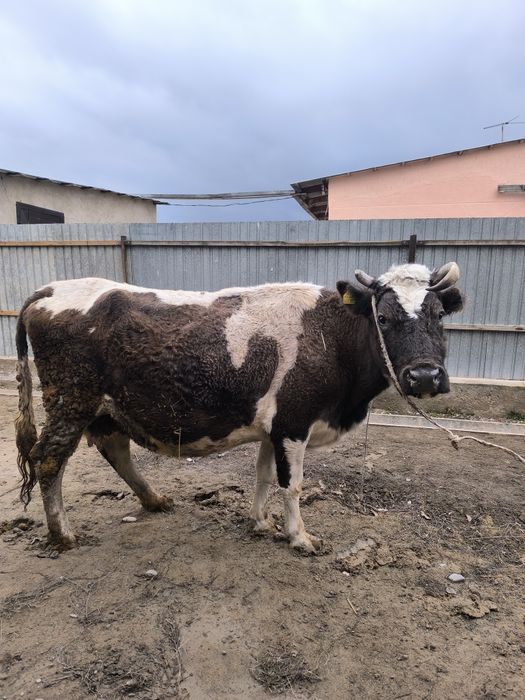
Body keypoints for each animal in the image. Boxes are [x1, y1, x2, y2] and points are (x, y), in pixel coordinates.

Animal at [15, 262, 464, 553]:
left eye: (440, 315)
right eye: (383, 318)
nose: (425, 376)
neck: (331, 336)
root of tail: (48, 291)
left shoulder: (272, 429)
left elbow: (263, 476)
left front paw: (261, 522)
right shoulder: (293, 424)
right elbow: (291, 485)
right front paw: (299, 537)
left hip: (108, 409)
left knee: (116, 450)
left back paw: (155, 500)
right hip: (70, 402)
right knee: (48, 459)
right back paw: (62, 534)